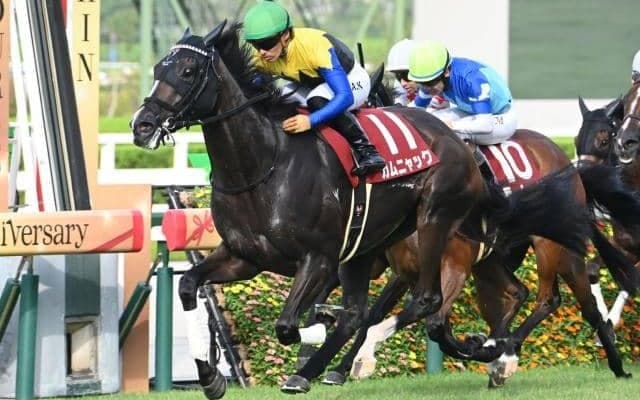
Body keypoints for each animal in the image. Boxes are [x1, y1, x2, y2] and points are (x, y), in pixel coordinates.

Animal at [131, 22, 596, 396]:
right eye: (156, 71)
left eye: (188, 71)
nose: (142, 125)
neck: (264, 166)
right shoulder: (246, 256)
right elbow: (189, 286)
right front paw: (211, 377)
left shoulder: (321, 258)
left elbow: (293, 324)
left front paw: (323, 348)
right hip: (394, 246)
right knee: (494, 296)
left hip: (456, 226)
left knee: (459, 300)